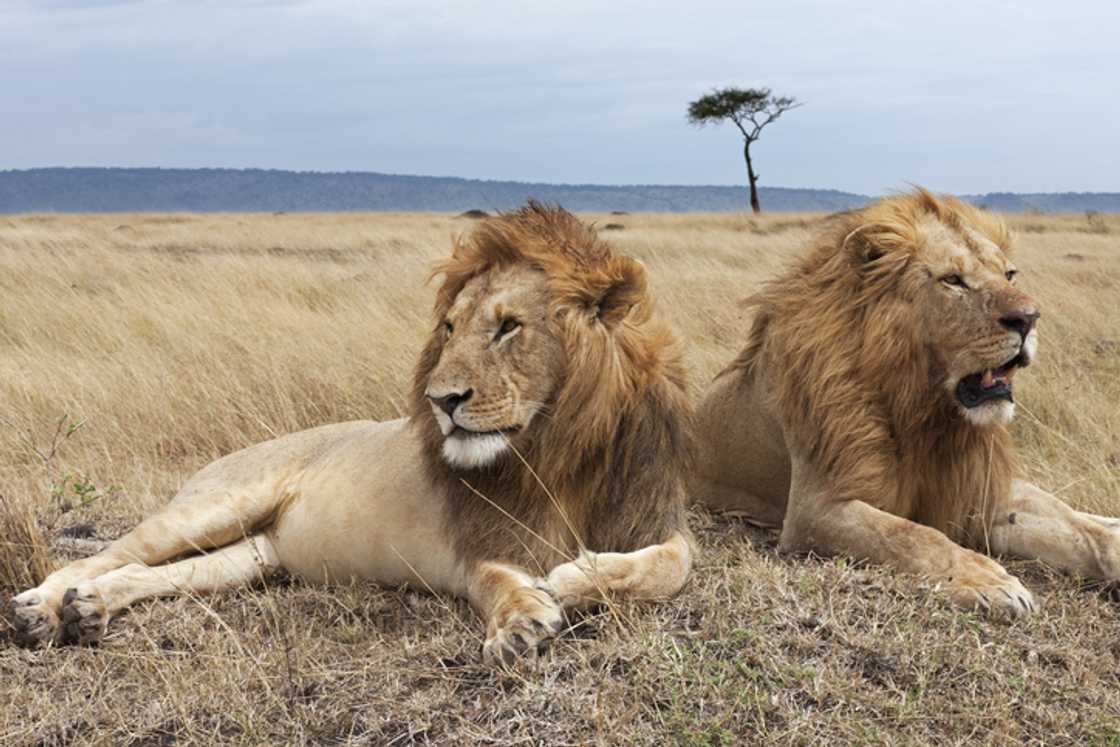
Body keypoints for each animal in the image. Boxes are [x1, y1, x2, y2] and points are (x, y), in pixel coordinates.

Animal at [8, 202, 694, 663]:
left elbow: (670, 566)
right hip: (217, 504)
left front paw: (572, 578)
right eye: (449, 328)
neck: (557, 452)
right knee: (105, 555)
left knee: (148, 574)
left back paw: (88, 610)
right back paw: (40, 611)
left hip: (254, 556)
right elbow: (502, 579)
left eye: (508, 327)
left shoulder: (657, 519)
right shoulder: (476, 546)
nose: (441, 400)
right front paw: (524, 619)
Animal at [692, 188, 1120, 617]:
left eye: (1009, 275)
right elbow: (912, 535)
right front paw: (988, 581)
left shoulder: (976, 489)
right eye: (953, 280)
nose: (1029, 318)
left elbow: (1079, 531)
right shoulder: (813, 511)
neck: (925, 408)